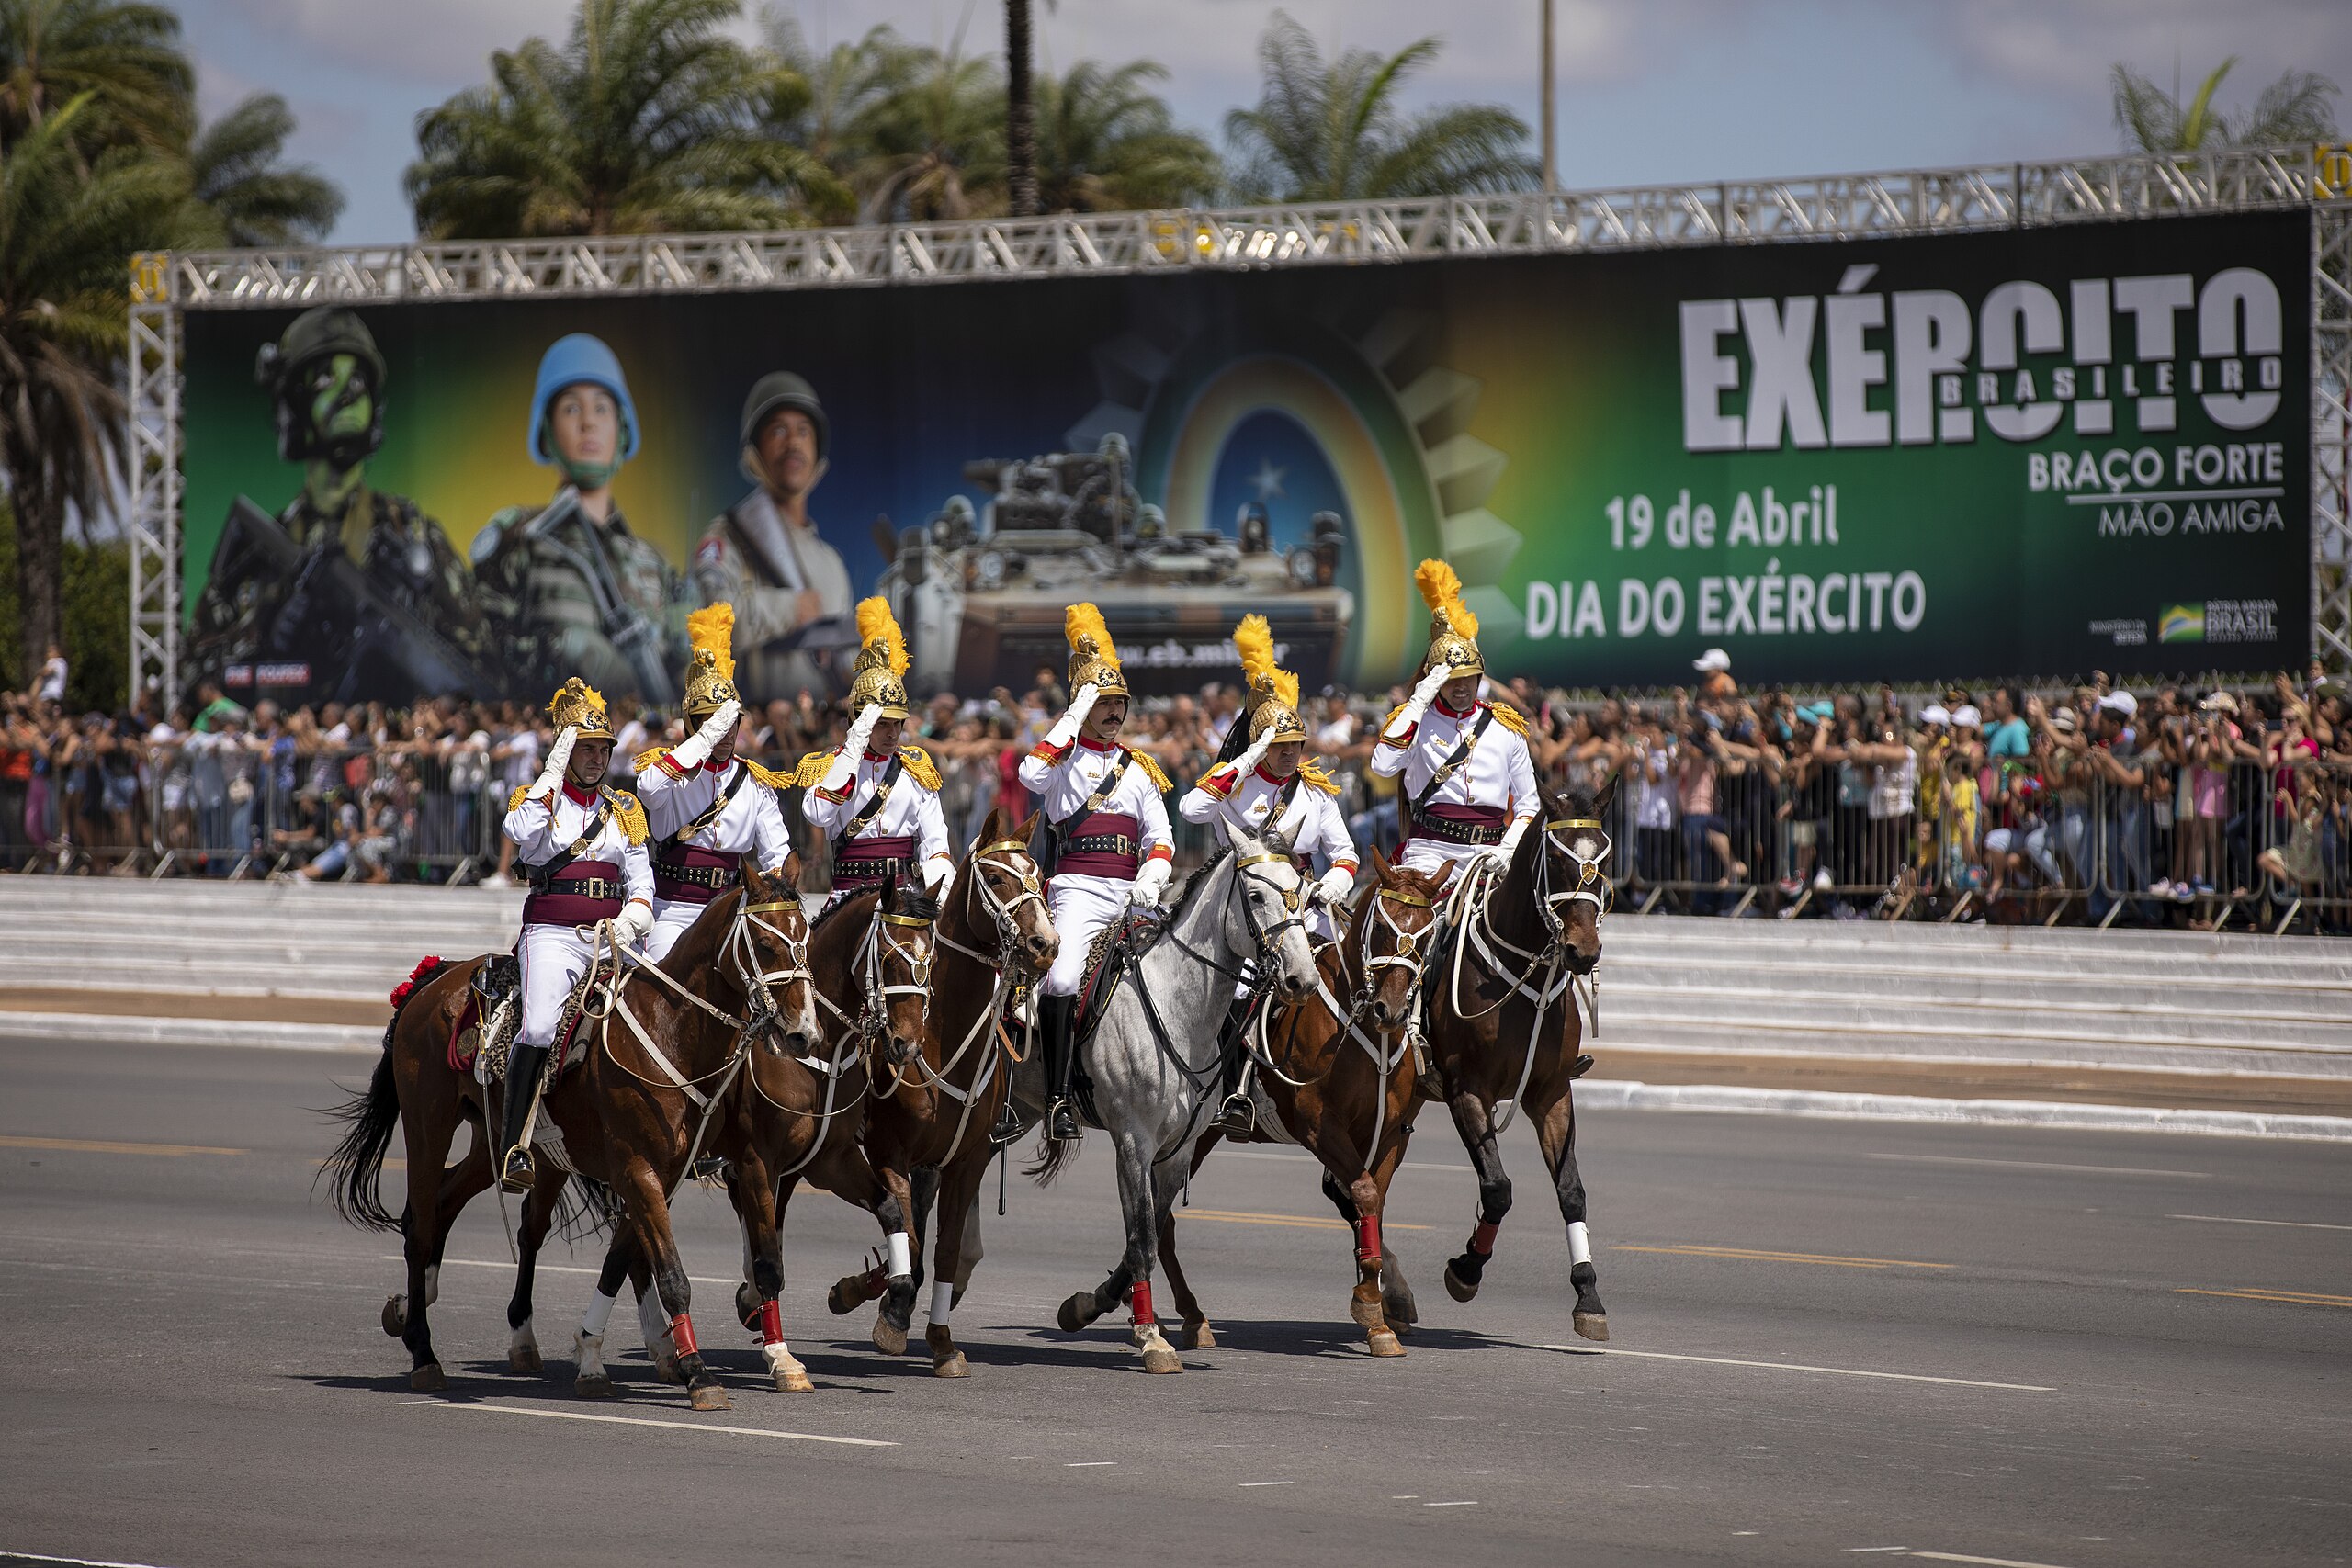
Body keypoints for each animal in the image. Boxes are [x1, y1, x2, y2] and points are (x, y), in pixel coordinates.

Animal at [320, 860, 818, 1401]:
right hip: (428, 1127)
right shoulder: (640, 1169)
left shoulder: (667, 1174)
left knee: (453, 1208)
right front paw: (697, 1373)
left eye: (806, 937)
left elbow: (629, 1262)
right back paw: (423, 1351)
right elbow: (670, 1274)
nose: (804, 1033)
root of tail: (431, 981)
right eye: (765, 944)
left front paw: (603, 1356)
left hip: (497, 1144)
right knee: (421, 1222)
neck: (671, 1029)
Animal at [818, 808, 1058, 1372]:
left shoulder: (967, 1162)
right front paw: (888, 1312)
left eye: (1038, 875)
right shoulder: (889, 1152)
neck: (941, 1038)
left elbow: (944, 1250)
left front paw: (941, 1339)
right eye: (995, 879)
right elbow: (904, 1232)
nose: (1046, 946)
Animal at [1157, 851, 1448, 1354]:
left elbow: (1372, 1206)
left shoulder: (1391, 1133)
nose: (1391, 1010)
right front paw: (1371, 1305)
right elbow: (1364, 1195)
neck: (1360, 1029)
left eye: (1427, 933)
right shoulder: (1319, 1127)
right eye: (1382, 927)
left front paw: (1379, 1309)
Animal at [1411, 780, 1618, 1344]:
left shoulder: (1551, 1093)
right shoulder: (1467, 1090)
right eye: (1559, 861)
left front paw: (1588, 1295)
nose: (1583, 952)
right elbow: (1498, 1189)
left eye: (1603, 863)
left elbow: (1571, 1191)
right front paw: (1466, 1269)